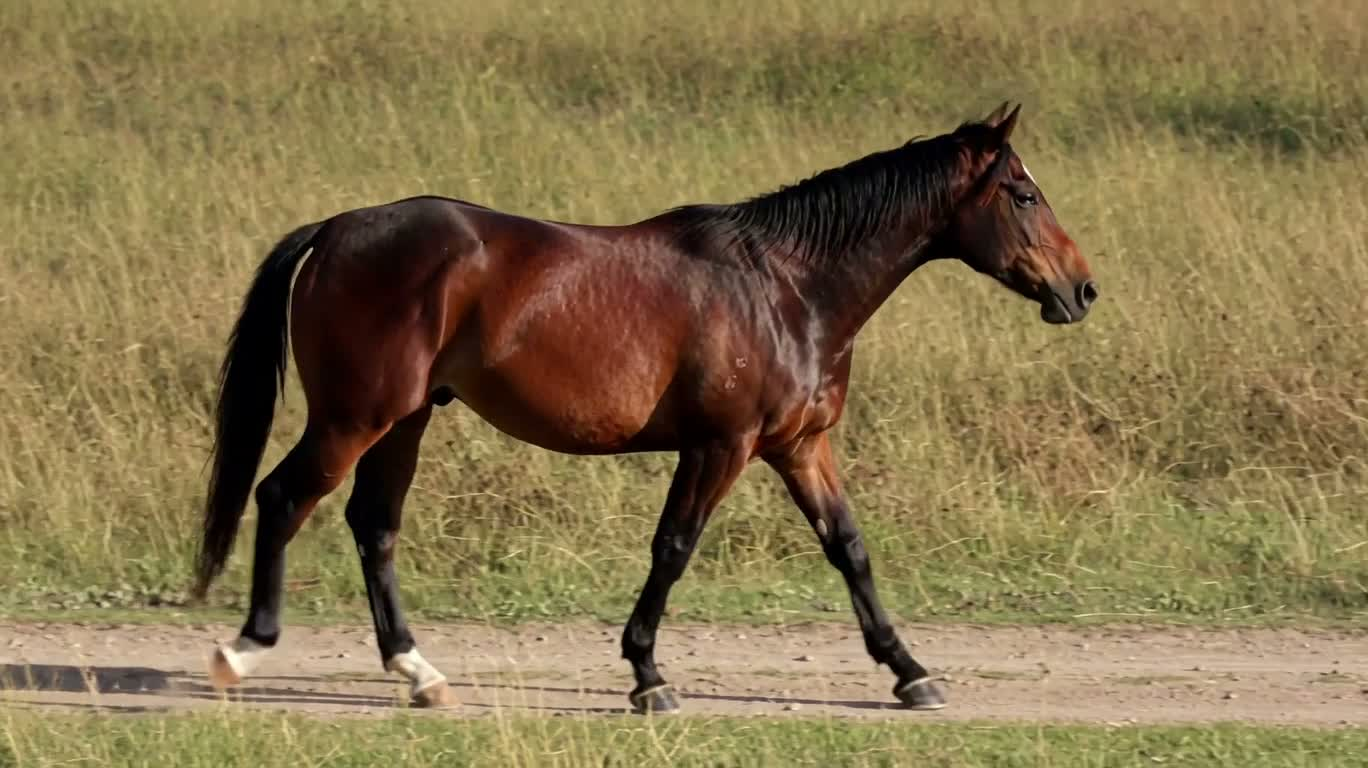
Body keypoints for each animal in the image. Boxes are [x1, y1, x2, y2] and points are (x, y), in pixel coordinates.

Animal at [191, 102, 1097, 714]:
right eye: (1022, 193)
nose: (1081, 289)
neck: (788, 287)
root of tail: (336, 230)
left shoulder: (801, 446)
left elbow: (849, 549)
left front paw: (911, 671)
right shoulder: (721, 445)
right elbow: (674, 549)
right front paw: (647, 676)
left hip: (405, 420)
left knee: (373, 527)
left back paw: (418, 673)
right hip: (355, 416)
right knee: (283, 498)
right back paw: (246, 650)